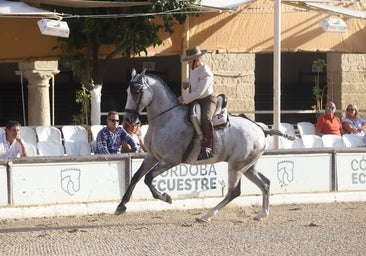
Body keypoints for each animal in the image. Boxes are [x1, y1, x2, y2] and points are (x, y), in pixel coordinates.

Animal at [116, 69, 296, 221]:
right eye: (127, 91)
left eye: (137, 91)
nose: (128, 120)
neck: (165, 119)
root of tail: (260, 128)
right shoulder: (152, 156)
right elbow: (136, 177)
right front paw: (121, 206)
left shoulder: (170, 160)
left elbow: (148, 178)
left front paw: (165, 197)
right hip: (248, 167)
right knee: (265, 184)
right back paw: (262, 214)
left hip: (236, 166)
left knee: (234, 192)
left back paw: (207, 215)